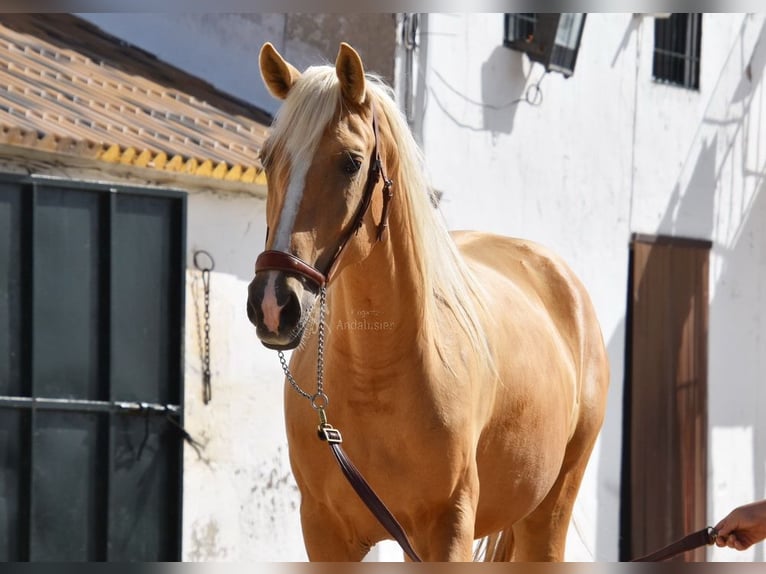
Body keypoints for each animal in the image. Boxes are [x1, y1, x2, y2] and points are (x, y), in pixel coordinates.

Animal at [248, 42, 612, 564]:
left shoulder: (446, 529)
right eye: (266, 158)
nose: (274, 303)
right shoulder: (325, 533)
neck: (375, 377)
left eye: (351, 162)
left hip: (548, 516)